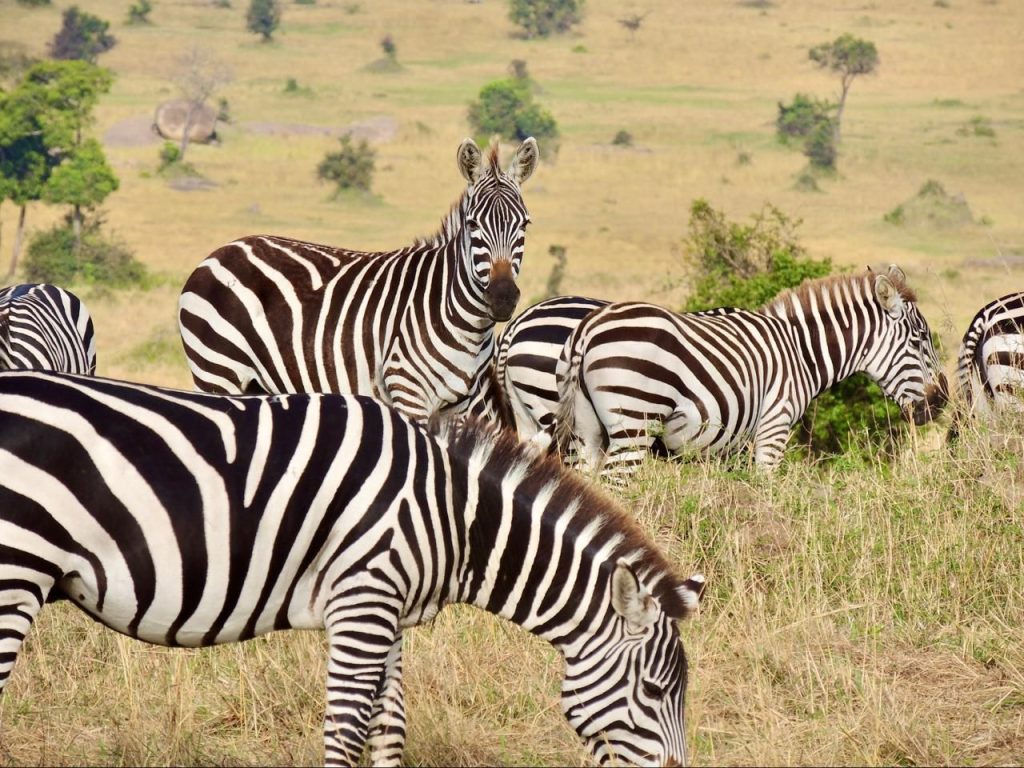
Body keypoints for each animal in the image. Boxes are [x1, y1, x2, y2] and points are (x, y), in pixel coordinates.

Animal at [0, 370, 705, 767]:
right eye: (655, 693)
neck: (451, 513)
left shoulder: (386, 611)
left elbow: (389, 730)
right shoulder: (363, 601)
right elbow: (344, 732)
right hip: (15, 572)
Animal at [178, 137, 538, 423]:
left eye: (525, 224)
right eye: (473, 224)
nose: (502, 297)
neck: (467, 327)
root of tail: (221, 250)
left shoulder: (462, 405)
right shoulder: (406, 390)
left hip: (255, 384)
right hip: (217, 371)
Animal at [554, 266, 949, 480]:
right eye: (919, 338)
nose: (941, 402)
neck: (800, 351)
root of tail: (587, 329)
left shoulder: (733, 448)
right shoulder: (774, 428)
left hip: (587, 434)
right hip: (634, 423)